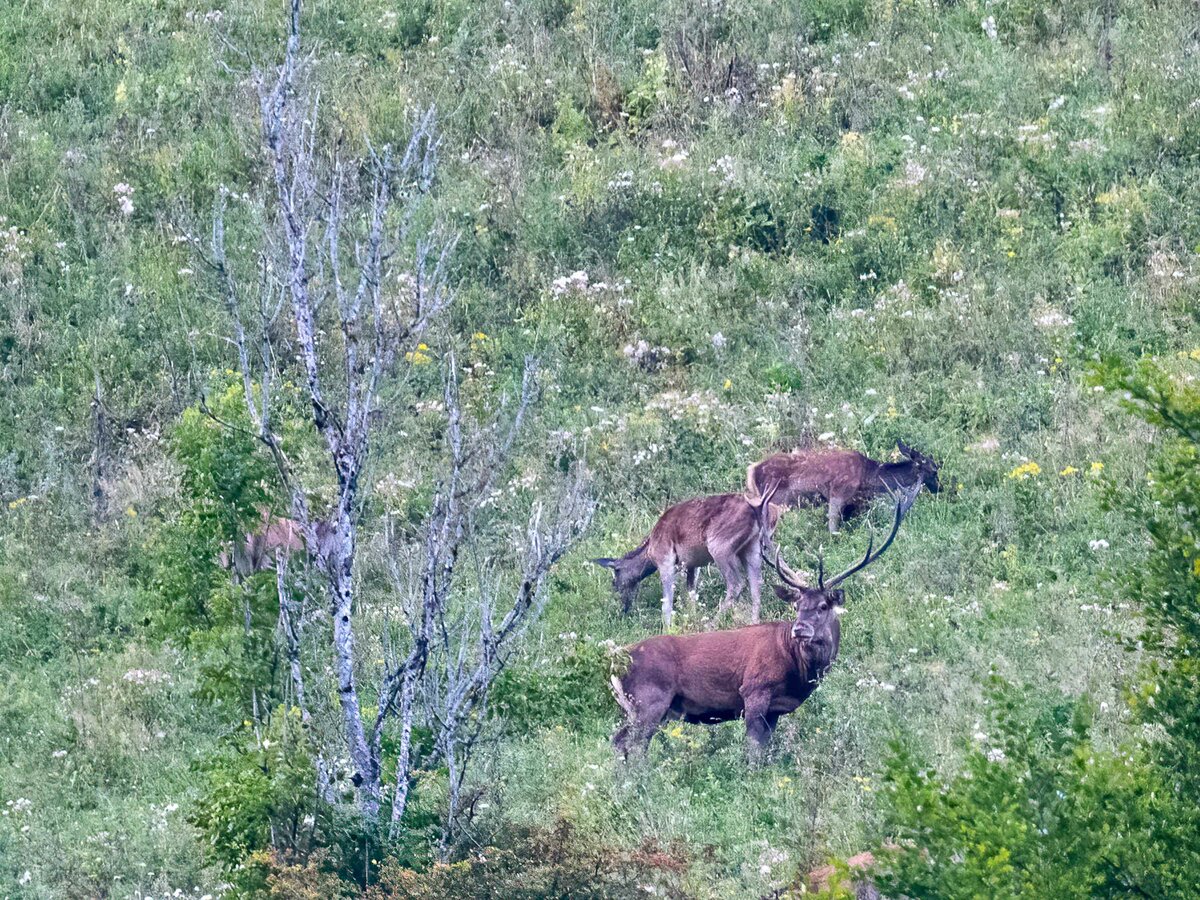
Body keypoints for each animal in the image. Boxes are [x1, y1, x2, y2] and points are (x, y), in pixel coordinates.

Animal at [592, 485, 780, 627]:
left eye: (615, 578)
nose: (623, 608)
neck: (650, 550)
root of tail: (757, 511)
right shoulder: (692, 565)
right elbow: (691, 596)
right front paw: (691, 618)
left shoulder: (665, 559)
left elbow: (667, 603)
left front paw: (668, 628)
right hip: (752, 547)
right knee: (757, 583)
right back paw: (754, 622)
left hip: (720, 547)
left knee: (736, 583)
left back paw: (712, 624)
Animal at [610, 491, 916, 761]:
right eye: (797, 606)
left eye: (823, 606)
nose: (800, 629)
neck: (799, 672)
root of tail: (615, 662)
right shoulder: (754, 691)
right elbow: (754, 754)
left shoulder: (775, 712)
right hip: (649, 702)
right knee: (628, 743)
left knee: (621, 741)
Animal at [746, 440, 940, 535]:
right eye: (934, 470)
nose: (940, 487)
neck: (867, 475)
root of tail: (752, 470)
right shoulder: (838, 492)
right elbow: (833, 526)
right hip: (775, 500)